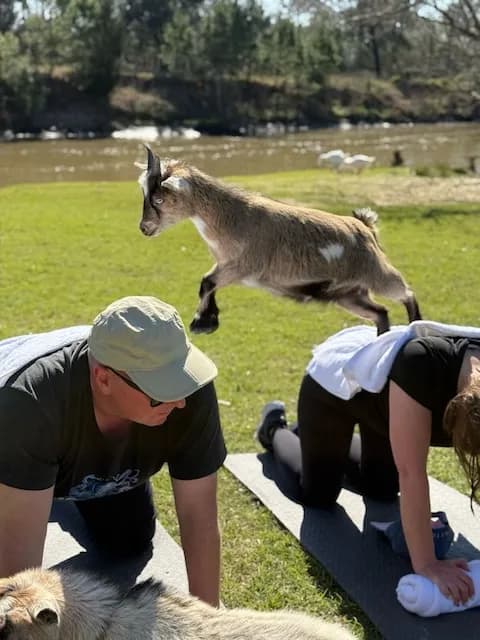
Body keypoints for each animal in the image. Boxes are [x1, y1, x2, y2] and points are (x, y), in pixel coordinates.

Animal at [138, 147, 421, 335]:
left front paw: (202, 322)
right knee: (380, 312)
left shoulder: (244, 265)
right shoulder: (228, 266)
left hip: (376, 272)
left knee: (405, 292)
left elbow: (206, 282)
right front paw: (207, 320)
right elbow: (207, 282)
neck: (232, 218)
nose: (144, 228)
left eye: (159, 199)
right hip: (348, 294)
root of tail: (366, 226)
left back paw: (416, 324)